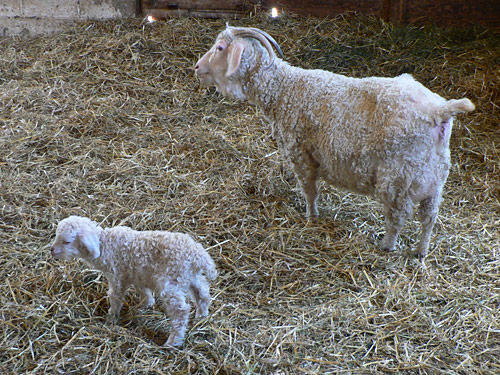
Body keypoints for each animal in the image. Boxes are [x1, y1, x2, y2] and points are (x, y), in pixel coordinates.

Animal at [194, 26, 472, 260]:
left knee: (398, 216)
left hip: (398, 177)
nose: (197, 67)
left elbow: (309, 190)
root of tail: (439, 111)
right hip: (434, 179)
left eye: (220, 48)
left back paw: (387, 245)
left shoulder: (301, 153)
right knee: (429, 218)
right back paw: (421, 251)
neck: (284, 90)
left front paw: (311, 216)